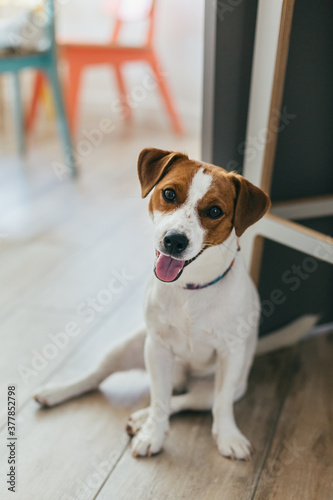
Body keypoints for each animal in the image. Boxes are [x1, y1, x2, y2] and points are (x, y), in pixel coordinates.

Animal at [33, 148, 312, 460]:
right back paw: (58, 392)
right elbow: (158, 398)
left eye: (215, 211)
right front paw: (152, 434)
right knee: (105, 378)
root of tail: (182, 377)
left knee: (185, 400)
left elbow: (221, 404)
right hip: (130, 347)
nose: (174, 241)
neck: (191, 287)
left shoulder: (230, 356)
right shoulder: (157, 348)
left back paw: (142, 417)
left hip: (222, 385)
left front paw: (229, 436)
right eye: (168, 193)